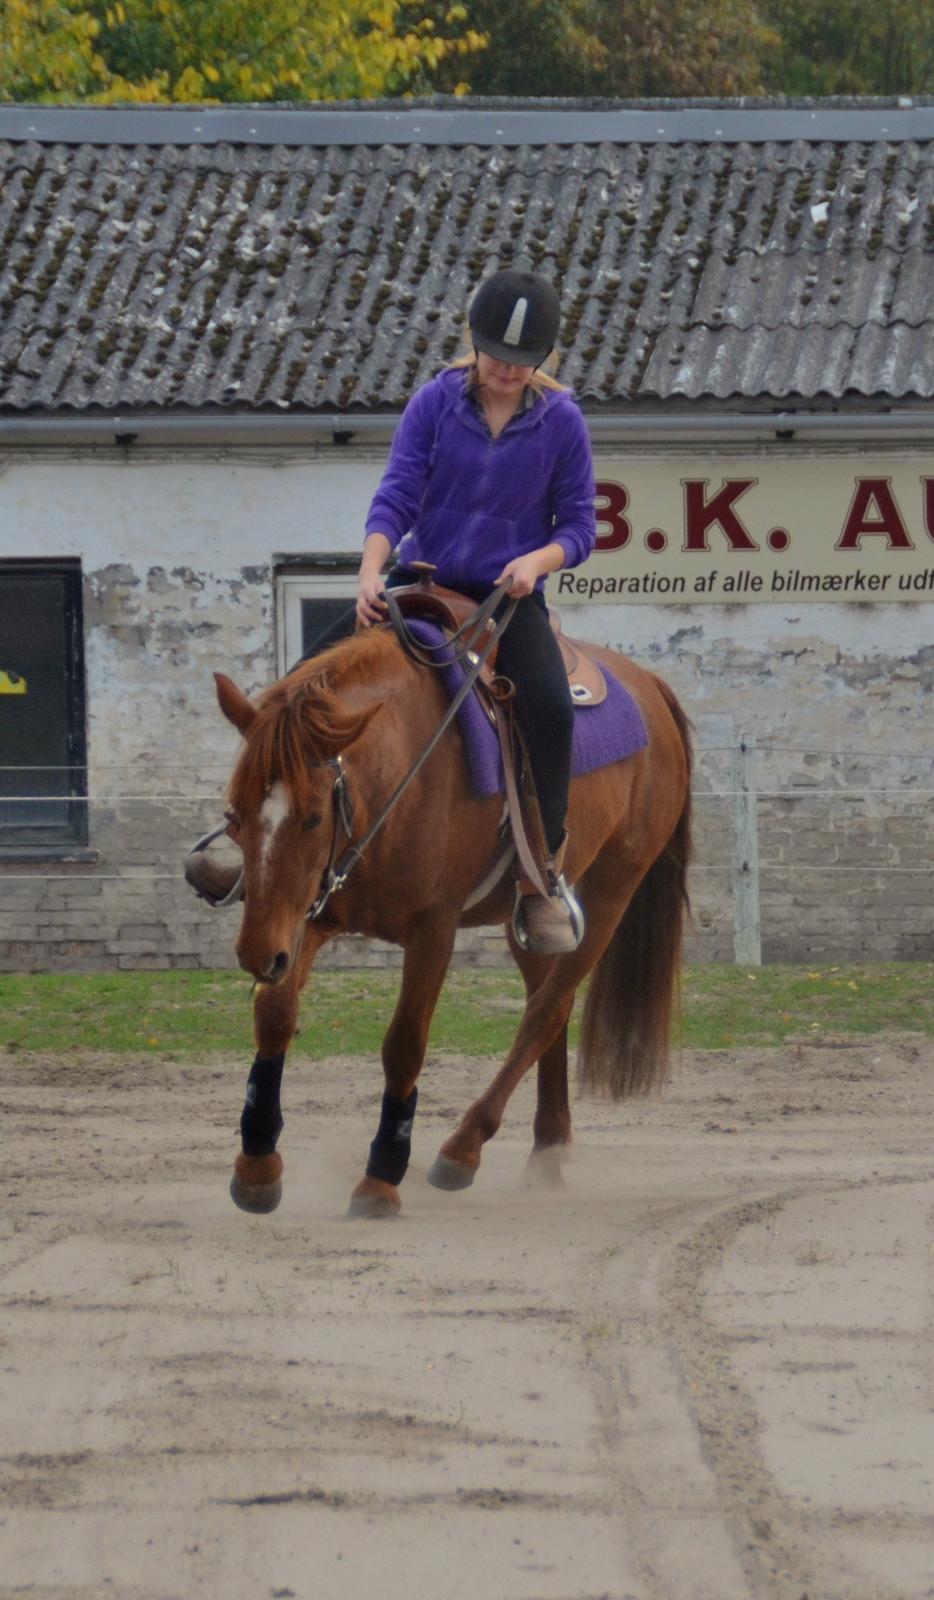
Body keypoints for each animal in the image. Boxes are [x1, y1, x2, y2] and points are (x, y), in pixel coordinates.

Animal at [212, 617, 694, 1216]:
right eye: (235, 813)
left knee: (546, 1012)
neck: (398, 774)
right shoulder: (309, 917)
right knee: (548, 1005)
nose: (256, 954)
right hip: (530, 921)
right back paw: (548, 1149)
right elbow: (275, 1015)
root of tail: (651, 685)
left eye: (313, 817)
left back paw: (463, 1148)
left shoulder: (432, 932)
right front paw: (257, 1164)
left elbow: (404, 1046)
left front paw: (381, 1177)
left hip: (612, 891)